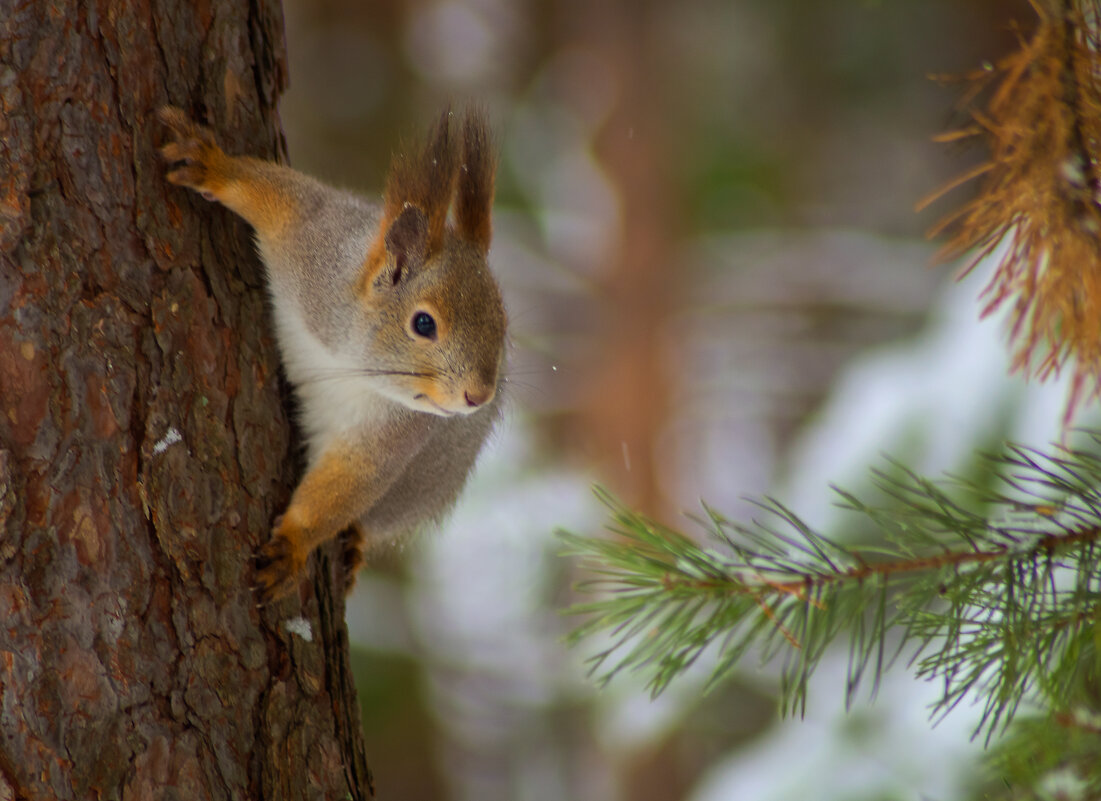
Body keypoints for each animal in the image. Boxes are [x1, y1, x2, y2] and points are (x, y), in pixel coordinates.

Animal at [156, 109, 506, 602]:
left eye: (503, 322)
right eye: (423, 324)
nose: (479, 396)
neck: (351, 360)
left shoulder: (389, 436)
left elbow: (344, 485)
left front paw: (292, 545)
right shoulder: (314, 249)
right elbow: (279, 198)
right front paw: (213, 166)